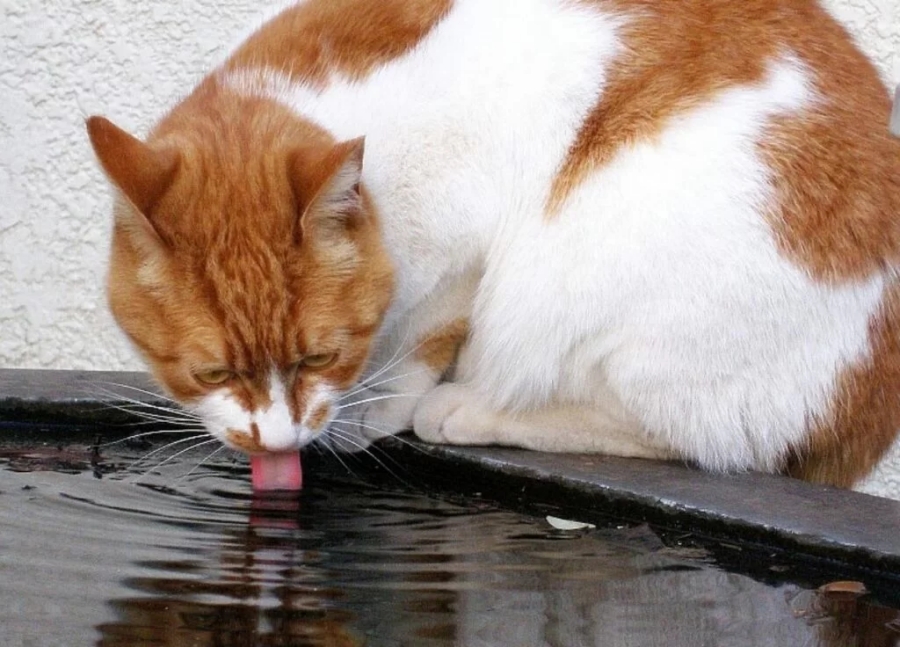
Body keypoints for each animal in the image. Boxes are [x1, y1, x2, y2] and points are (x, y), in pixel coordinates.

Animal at [88, 0, 900, 488]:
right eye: (210, 371)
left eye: (319, 356)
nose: (276, 444)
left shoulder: (465, 252)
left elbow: (426, 337)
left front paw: (378, 408)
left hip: (614, 271)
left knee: (701, 440)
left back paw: (470, 410)